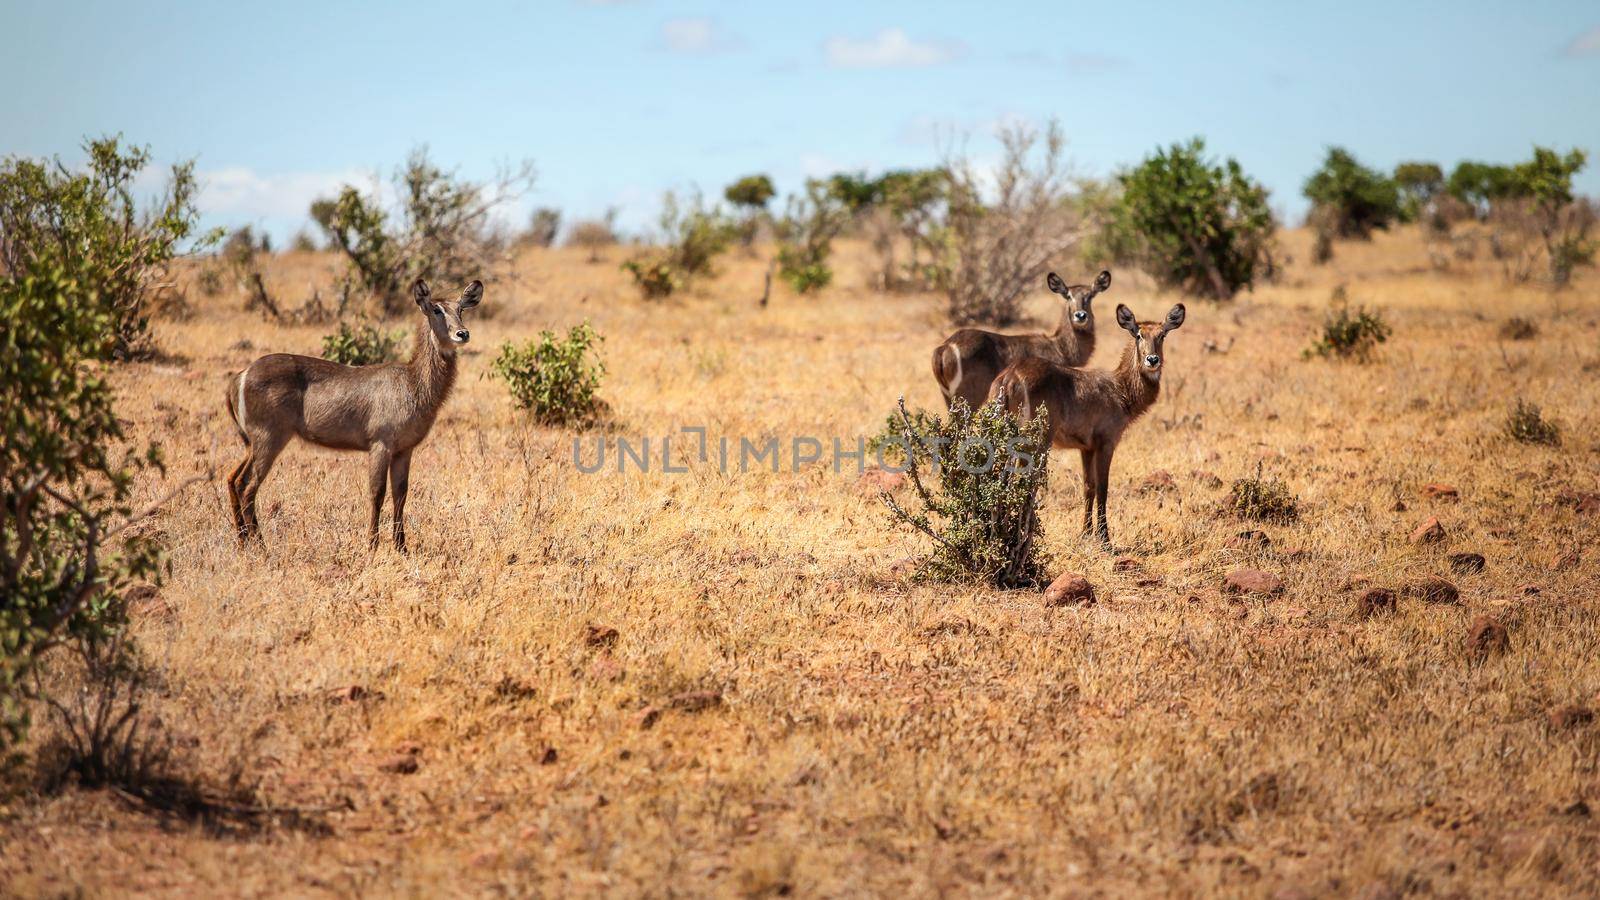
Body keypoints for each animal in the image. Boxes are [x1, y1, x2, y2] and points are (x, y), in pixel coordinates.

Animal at [224, 278, 480, 547]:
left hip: (252, 443)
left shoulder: (404, 450)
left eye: (460, 309)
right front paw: (373, 545)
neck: (413, 383)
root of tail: (241, 375)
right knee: (248, 486)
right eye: (436, 309)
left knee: (234, 479)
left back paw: (243, 541)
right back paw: (261, 546)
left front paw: (401, 547)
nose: (462, 333)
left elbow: (401, 494)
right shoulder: (380, 444)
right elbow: (377, 493)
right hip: (269, 439)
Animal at [934, 264, 1107, 408]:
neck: (1060, 347)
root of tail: (946, 347)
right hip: (969, 397)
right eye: (1068, 296)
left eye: (1090, 296)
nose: (1080, 315)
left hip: (948, 398)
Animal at [985, 301, 1190, 544]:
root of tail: (1010, 376)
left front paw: (1085, 532)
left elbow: (1088, 487)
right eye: (1139, 334)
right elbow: (1103, 487)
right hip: (1033, 441)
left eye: (1162, 335)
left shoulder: (1086, 448)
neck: (1121, 389)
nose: (1152, 360)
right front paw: (1104, 537)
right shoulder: (1106, 443)